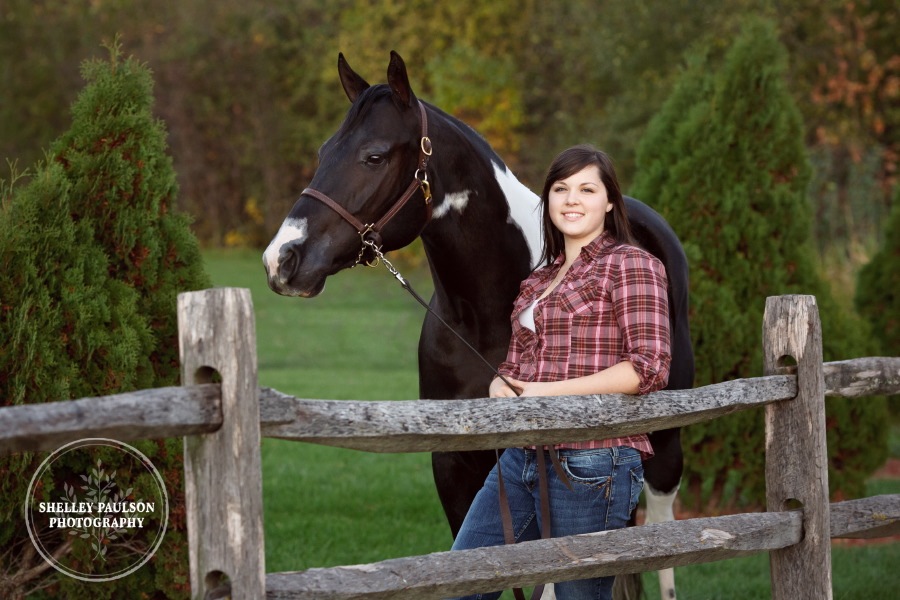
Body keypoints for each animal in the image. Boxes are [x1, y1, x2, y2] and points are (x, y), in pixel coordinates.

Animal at [264, 52, 692, 600]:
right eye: (324, 152)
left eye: (374, 156)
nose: (282, 259)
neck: (482, 315)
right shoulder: (454, 464)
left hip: (665, 446)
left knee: (661, 537)